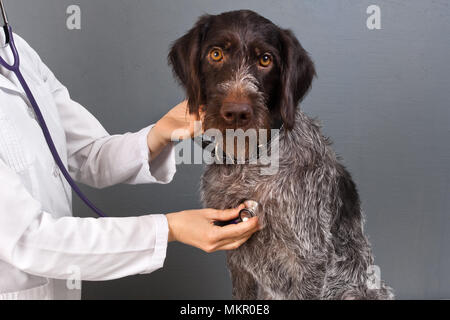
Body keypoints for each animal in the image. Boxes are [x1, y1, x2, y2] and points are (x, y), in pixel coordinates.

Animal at [169, 10, 394, 300]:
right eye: (216, 54)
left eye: (266, 59)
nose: (237, 113)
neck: (250, 162)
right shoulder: (237, 255)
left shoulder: (310, 260)